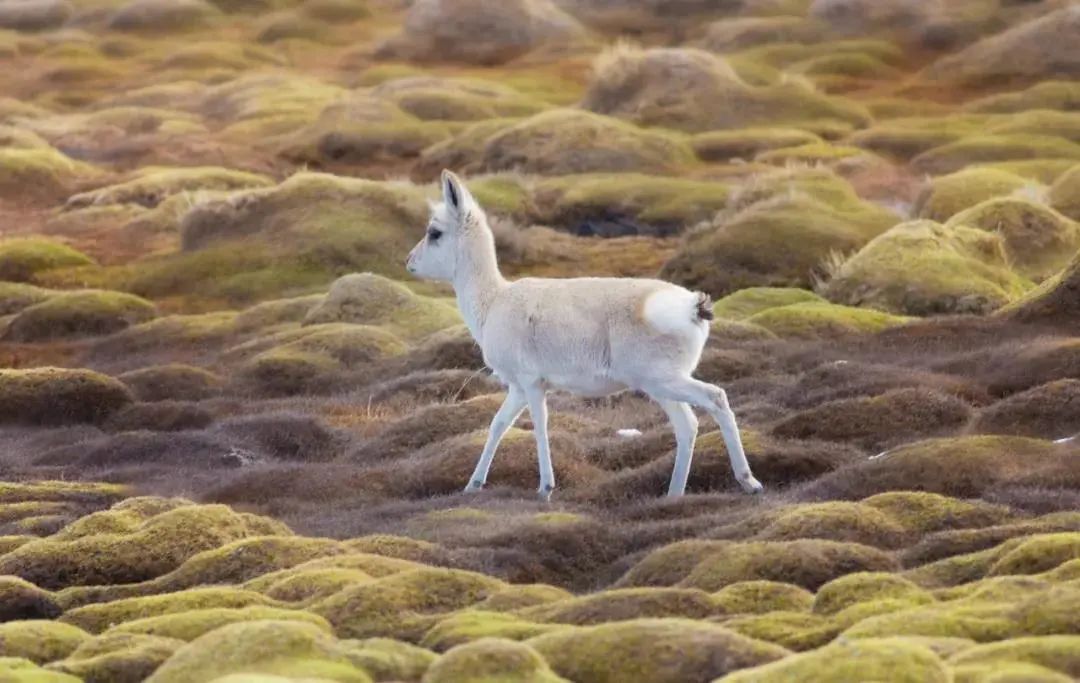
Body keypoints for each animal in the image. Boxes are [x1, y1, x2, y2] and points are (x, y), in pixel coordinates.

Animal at [406, 170, 768, 501]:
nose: (409, 261)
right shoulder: (518, 389)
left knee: (716, 398)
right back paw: (674, 494)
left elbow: (539, 425)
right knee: (687, 425)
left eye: (435, 232)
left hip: (663, 380)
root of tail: (694, 305)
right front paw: (473, 485)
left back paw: (749, 481)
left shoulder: (532, 384)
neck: (493, 299)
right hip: (661, 386)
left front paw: (545, 488)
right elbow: (498, 424)